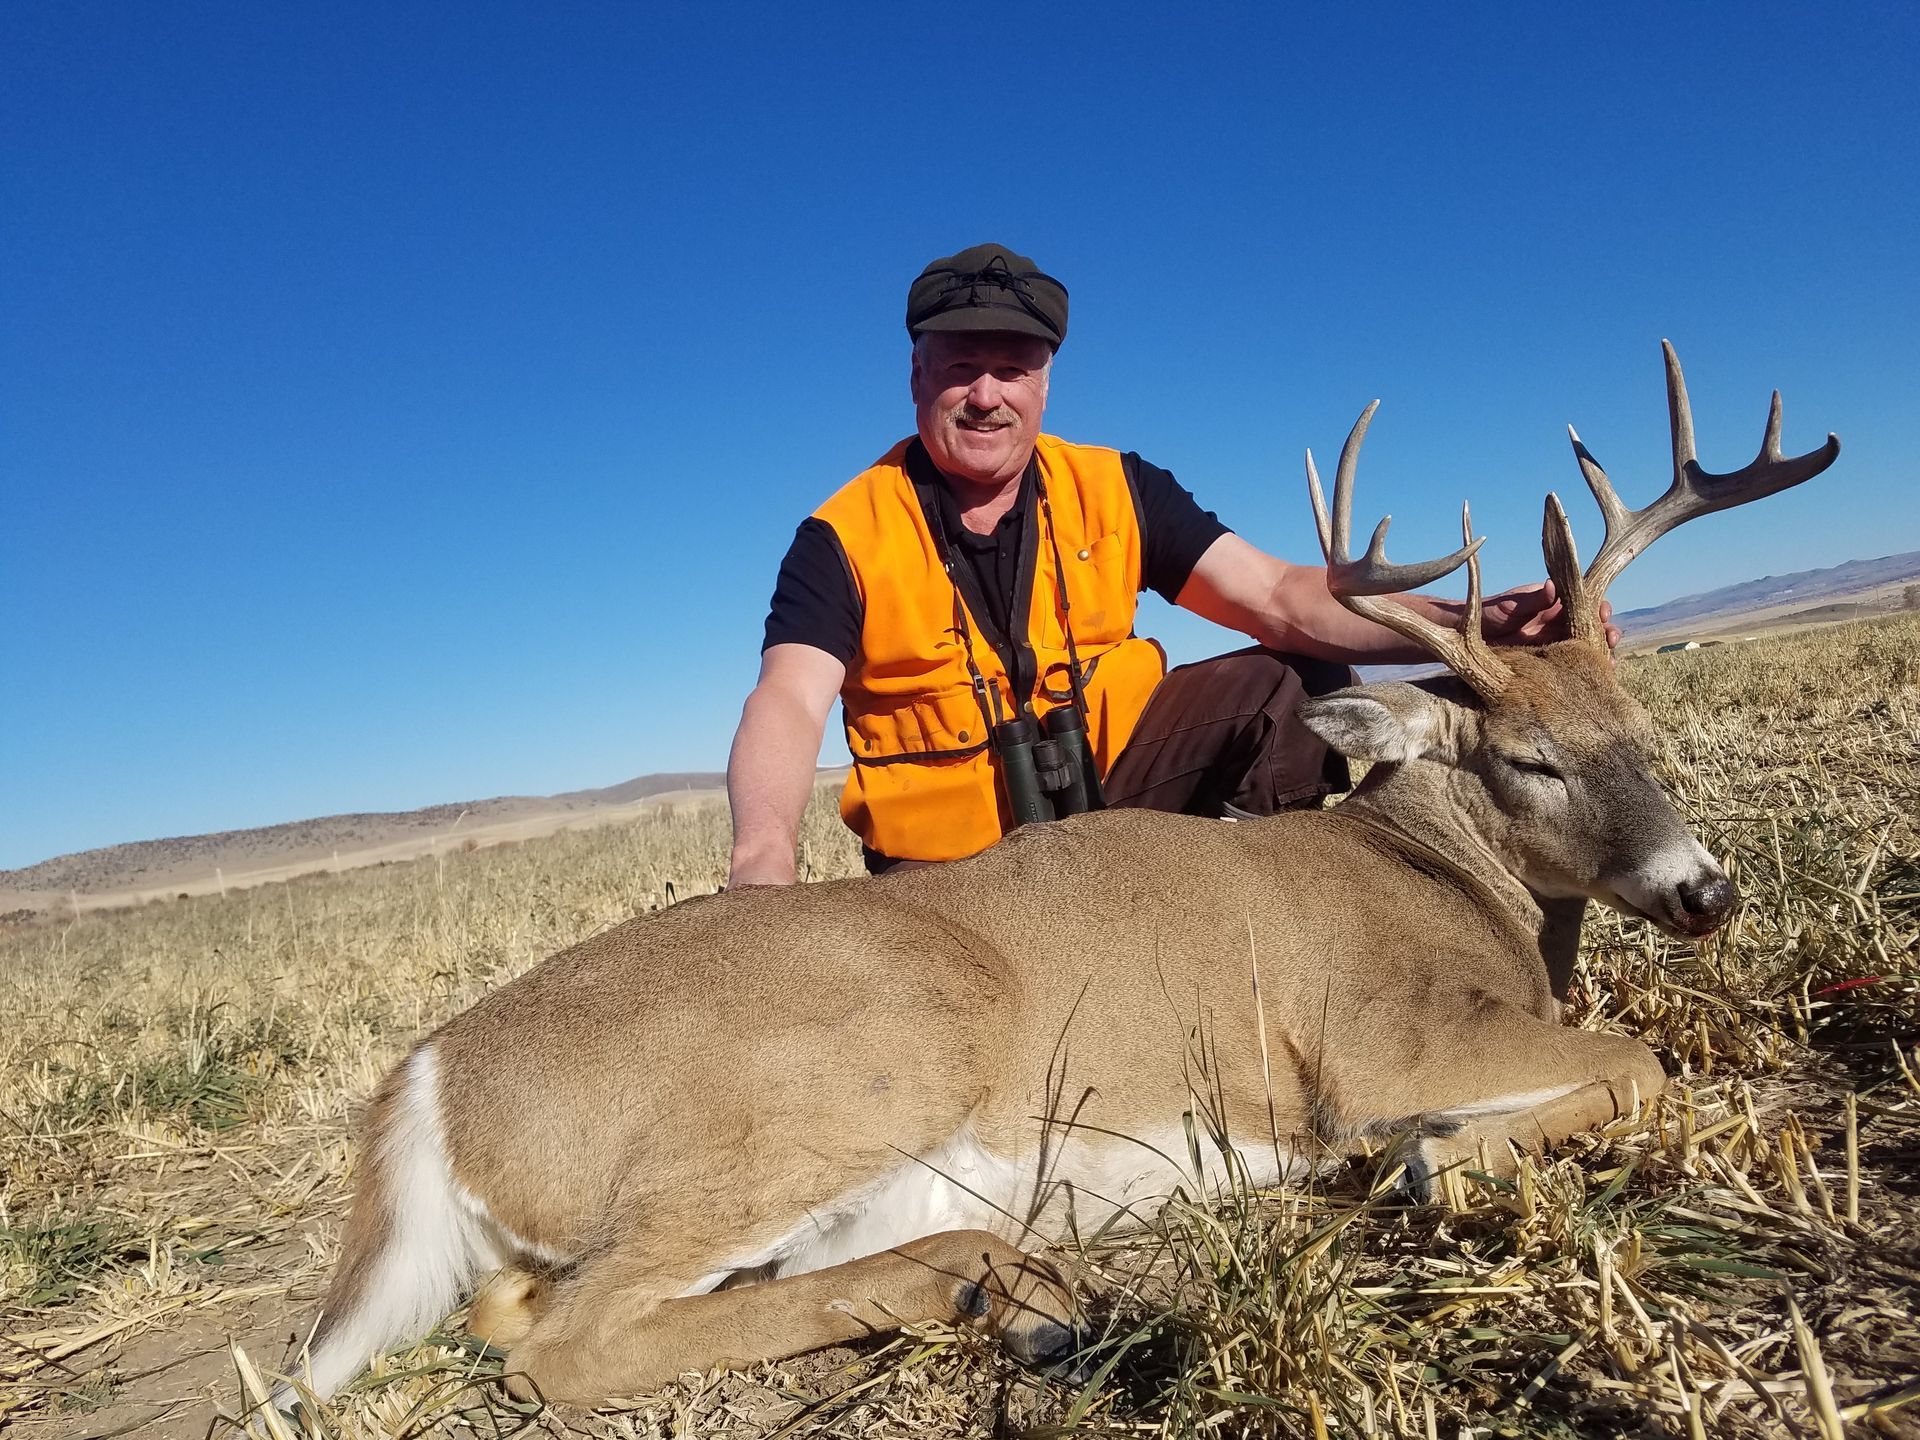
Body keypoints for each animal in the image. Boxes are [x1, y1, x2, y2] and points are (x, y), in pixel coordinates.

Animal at [275, 344, 1838, 1412]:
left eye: (1642, 728)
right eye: (1529, 758)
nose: (1705, 892)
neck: (1445, 878)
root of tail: (427, 1077)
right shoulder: (1372, 1040)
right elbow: (1631, 1060)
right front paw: (1436, 1156)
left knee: (536, 1312)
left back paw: (1012, 1288)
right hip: (868, 1057)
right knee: (562, 1343)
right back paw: (1017, 1288)